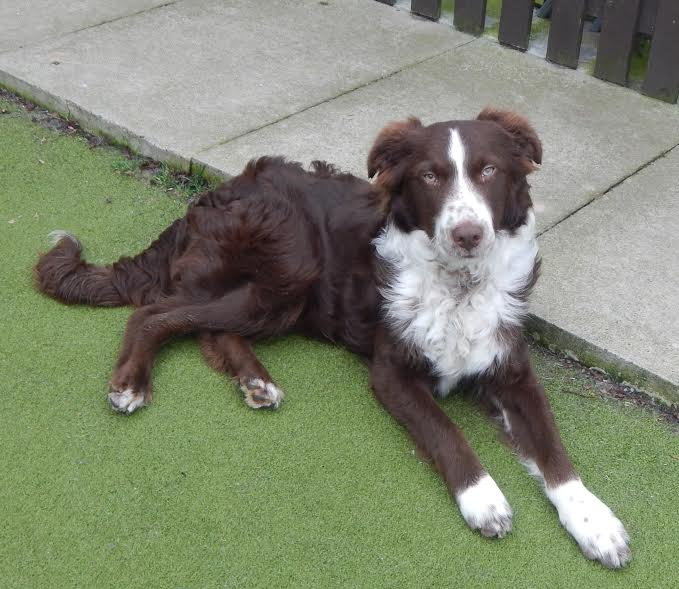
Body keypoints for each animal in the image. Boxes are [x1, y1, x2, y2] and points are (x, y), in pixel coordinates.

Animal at [35, 108, 632, 568]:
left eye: (488, 170)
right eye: (430, 177)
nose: (468, 234)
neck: (459, 284)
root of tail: (216, 192)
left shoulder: (512, 372)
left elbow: (555, 454)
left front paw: (596, 523)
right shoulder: (392, 373)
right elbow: (447, 433)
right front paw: (484, 499)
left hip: (277, 296)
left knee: (208, 327)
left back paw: (255, 381)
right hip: (290, 271)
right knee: (155, 315)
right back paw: (132, 384)